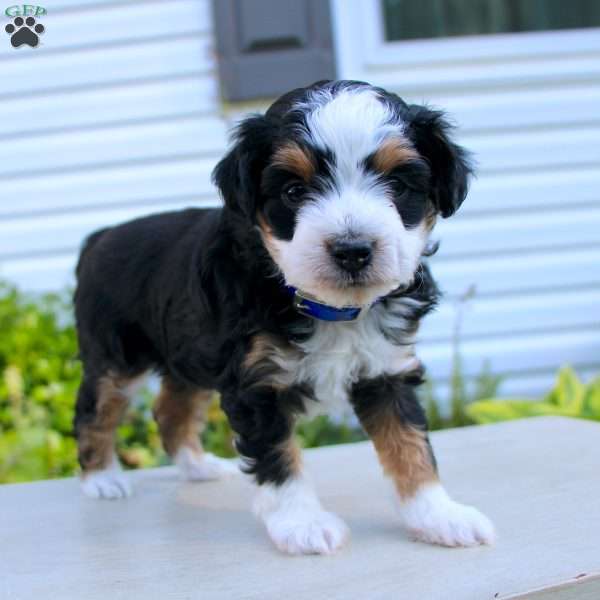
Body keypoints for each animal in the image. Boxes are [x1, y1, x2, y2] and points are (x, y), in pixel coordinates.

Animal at [75, 78, 494, 552]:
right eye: (294, 191)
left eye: (398, 185)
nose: (352, 250)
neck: (327, 307)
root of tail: (101, 236)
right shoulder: (257, 385)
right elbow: (279, 459)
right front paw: (302, 524)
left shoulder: (386, 371)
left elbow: (410, 444)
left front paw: (438, 514)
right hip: (115, 356)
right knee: (95, 409)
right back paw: (101, 479)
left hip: (189, 353)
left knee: (171, 409)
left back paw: (198, 467)